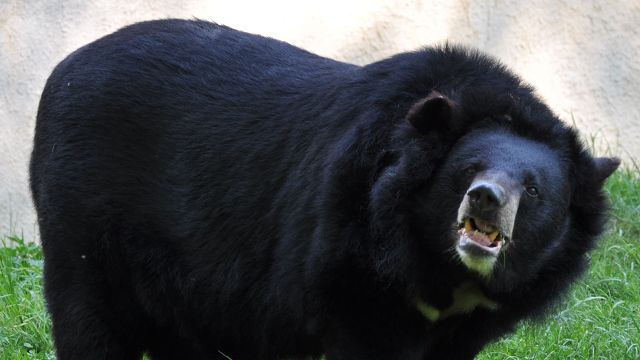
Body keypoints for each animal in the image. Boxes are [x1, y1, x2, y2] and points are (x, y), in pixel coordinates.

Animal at [31, 20, 620, 360]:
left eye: (534, 190)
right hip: (84, 216)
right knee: (90, 321)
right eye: (469, 168)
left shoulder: (470, 324)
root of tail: (63, 66)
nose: (485, 199)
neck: (439, 267)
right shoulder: (351, 255)